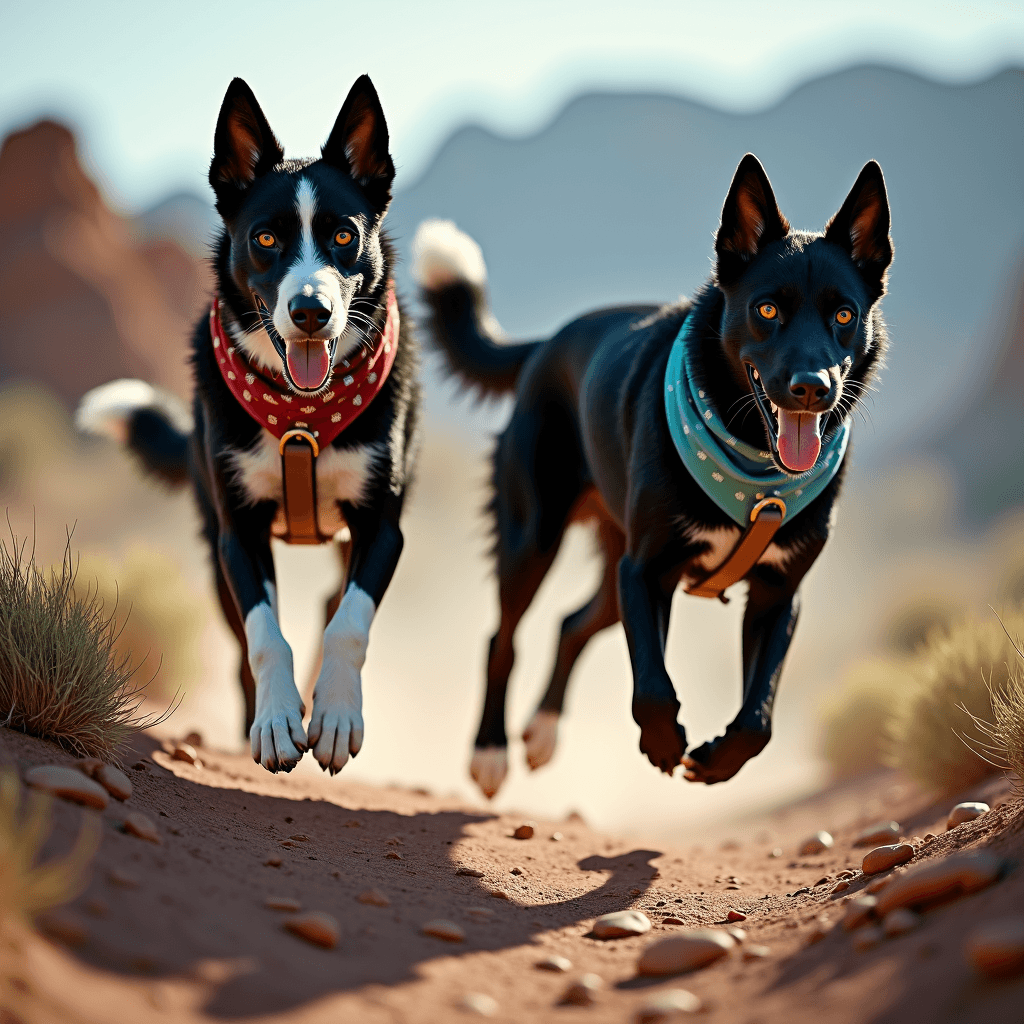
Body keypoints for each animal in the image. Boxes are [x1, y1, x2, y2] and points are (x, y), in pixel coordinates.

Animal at [77, 75, 417, 770]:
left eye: (344, 237)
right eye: (264, 239)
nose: (311, 311)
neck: (302, 417)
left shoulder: (383, 525)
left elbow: (348, 624)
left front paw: (335, 716)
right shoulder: (238, 533)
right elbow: (264, 635)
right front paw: (279, 721)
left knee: (330, 606)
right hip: (214, 547)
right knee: (241, 641)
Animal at [411, 151, 892, 794]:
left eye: (844, 314)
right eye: (766, 309)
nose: (813, 389)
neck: (753, 469)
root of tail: (544, 344)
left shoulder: (778, 593)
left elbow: (758, 718)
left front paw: (715, 760)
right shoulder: (646, 571)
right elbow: (654, 689)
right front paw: (664, 745)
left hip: (612, 554)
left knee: (572, 623)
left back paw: (542, 732)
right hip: (535, 536)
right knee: (502, 637)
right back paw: (490, 751)